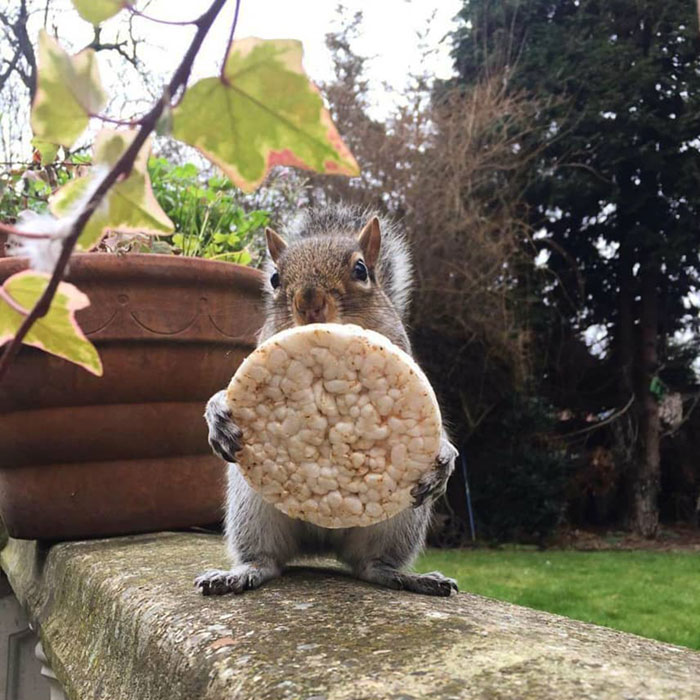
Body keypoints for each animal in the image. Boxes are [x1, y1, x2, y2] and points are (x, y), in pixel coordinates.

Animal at [195, 203, 459, 597]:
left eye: (361, 270)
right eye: (275, 279)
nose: (309, 302)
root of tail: (322, 540)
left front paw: (445, 455)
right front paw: (217, 415)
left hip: (401, 517)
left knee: (371, 566)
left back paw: (406, 577)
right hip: (251, 503)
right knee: (267, 560)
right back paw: (241, 573)